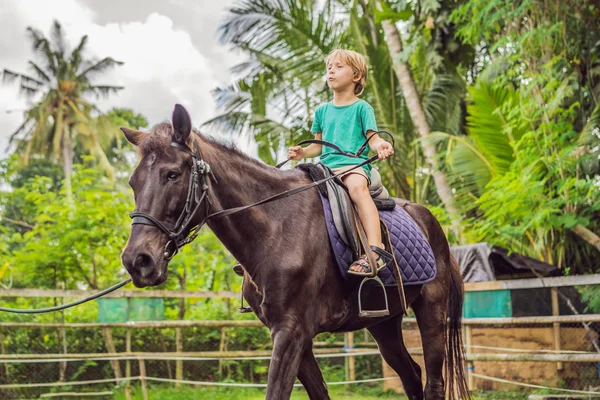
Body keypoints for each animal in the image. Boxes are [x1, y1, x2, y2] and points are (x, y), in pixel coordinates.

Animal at [120, 105, 468, 400]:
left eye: (172, 174)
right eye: (133, 182)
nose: (137, 261)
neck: (275, 227)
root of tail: (430, 222)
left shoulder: (291, 332)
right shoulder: (291, 334)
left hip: (431, 311)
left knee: (434, 384)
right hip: (383, 322)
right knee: (411, 376)